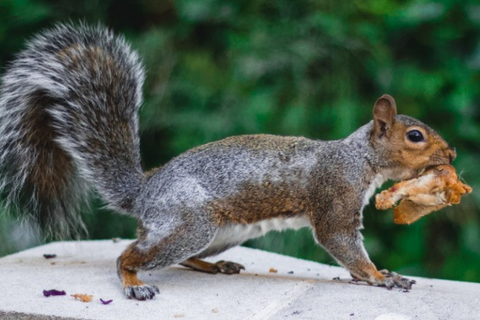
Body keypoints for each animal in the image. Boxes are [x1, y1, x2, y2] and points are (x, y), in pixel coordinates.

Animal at [0, 24, 458, 300]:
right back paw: (133, 281)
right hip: (190, 222)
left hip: (222, 231)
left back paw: (214, 265)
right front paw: (382, 277)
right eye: (415, 136)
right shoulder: (335, 195)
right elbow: (341, 242)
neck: (356, 158)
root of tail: (146, 189)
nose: (451, 155)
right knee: (130, 254)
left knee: (182, 256)